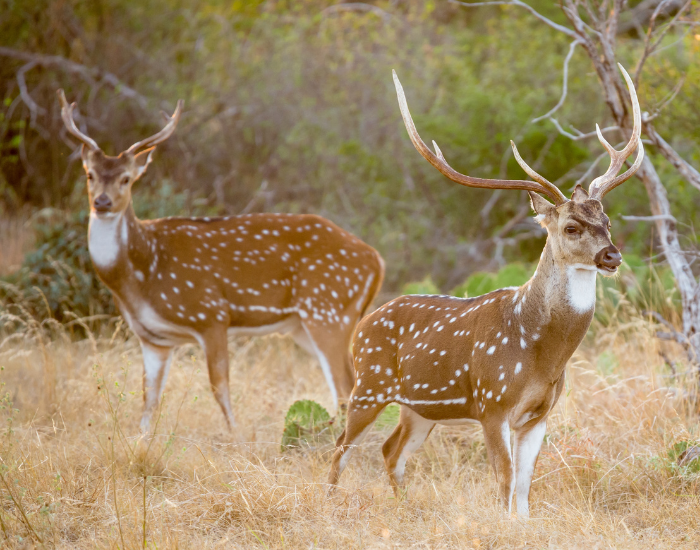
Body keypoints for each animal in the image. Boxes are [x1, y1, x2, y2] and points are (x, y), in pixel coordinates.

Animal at [57, 90, 385, 433]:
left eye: (126, 179)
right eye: (90, 174)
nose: (102, 202)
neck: (142, 276)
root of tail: (377, 261)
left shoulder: (211, 314)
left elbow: (220, 388)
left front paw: (235, 436)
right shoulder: (153, 338)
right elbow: (149, 401)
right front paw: (141, 440)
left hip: (329, 311)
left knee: (347, 388)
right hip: (304, 326)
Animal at [327, 64, 643, 517]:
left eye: (608, 222)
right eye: (571, 227)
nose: (611, 256)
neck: (541, 353)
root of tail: (362, 325)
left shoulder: (539, 414)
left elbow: (525, 486)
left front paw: (522, 523)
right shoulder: (493, 402)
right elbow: (504, 480)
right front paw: (502, 522)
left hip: (419, 409)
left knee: (391, 451)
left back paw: (403, 509)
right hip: (368, 384)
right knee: (340, 448)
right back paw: (328, 502)